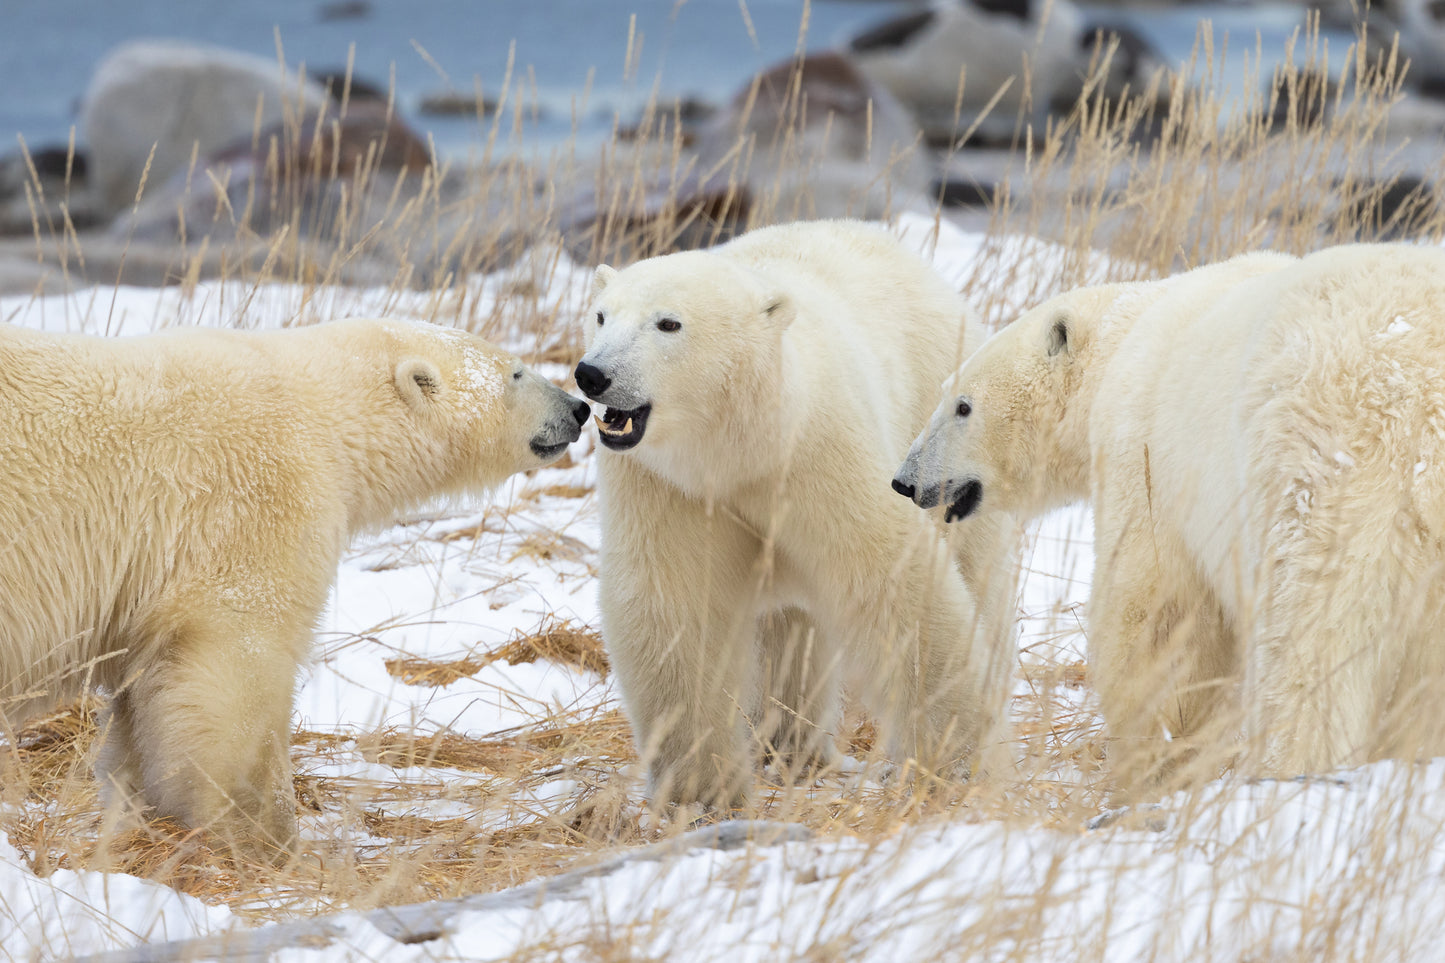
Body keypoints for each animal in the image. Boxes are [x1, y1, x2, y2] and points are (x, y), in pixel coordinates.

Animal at [0, 318, 589, 856]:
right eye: (516, 371)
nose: (578, 408)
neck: (326, 413)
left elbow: (143, 697)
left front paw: (144, 817)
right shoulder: (256, 501)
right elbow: (236, 667)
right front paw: (264, 835)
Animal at [569, 219, 1011, 809]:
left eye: (668, 323)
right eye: (600, 315)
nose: (593, 373)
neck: (744, 450)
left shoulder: (818, 452)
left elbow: (890, 576)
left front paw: (956, 758)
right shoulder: (666, 486)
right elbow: (675, 605)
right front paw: (700, 789)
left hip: (942, 435)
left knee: (976, 571)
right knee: (793, 633)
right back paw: (790, 745)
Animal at [890, 244, 1445, 792]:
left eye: (962, 406)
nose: (905, 481)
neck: (1122, 338)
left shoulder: (1146, 453)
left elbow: (1156, 616)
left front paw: (1152, 758)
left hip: (1324, 473)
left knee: (1310, 645)